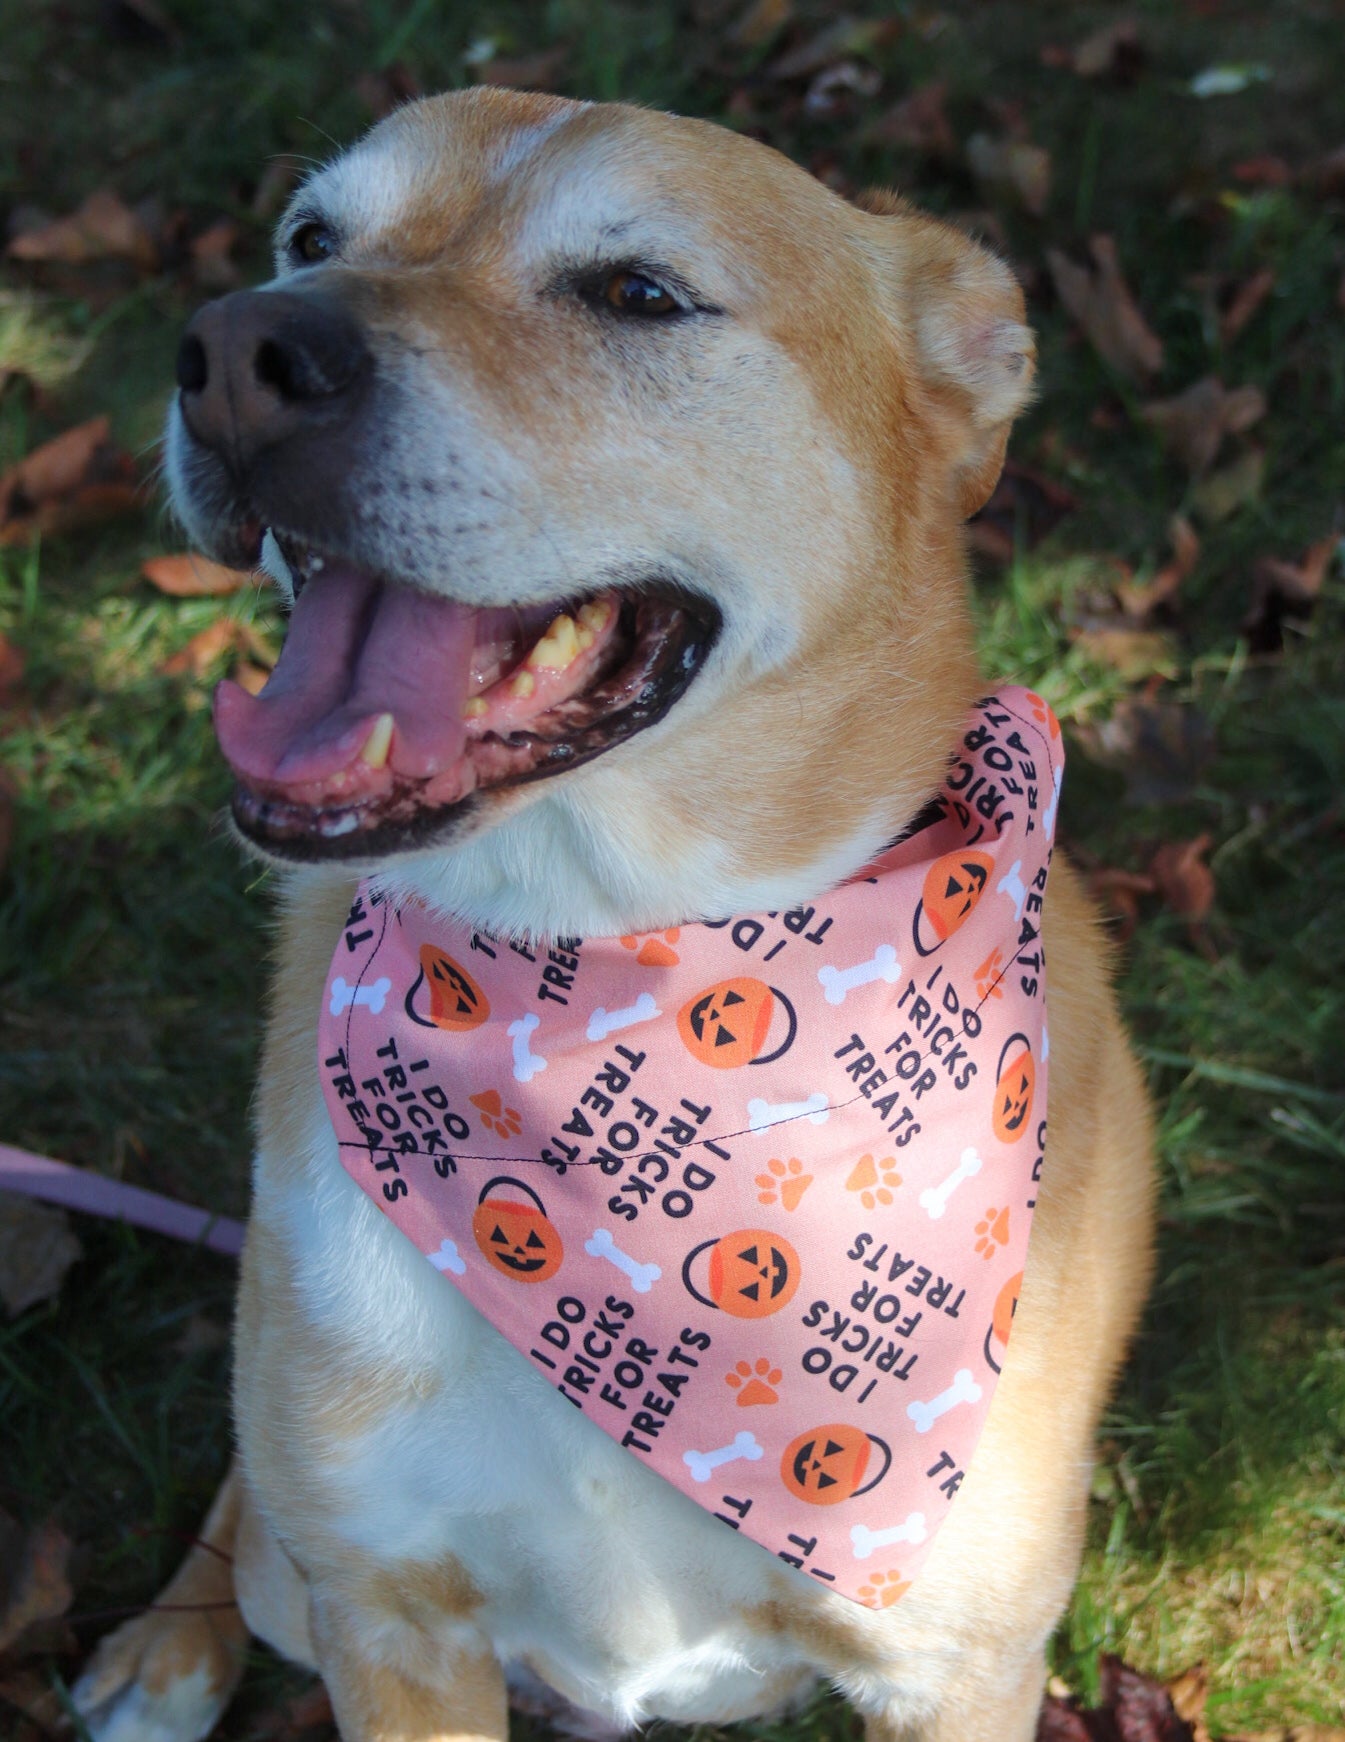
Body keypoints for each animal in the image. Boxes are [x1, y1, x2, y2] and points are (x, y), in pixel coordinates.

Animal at [70, 91, 1156, 1742]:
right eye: (310, 238)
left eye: (639, 292)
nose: (238, 347)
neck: (610, 968)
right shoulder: (394, 1625)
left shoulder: (957, 1666)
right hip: (298, 1560)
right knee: (252, 1496)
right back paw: (168, 1644)